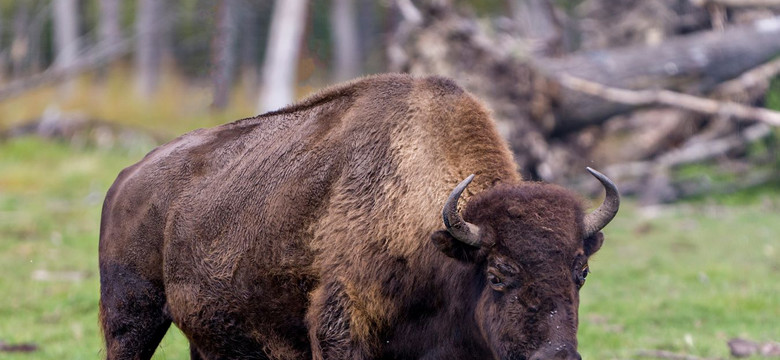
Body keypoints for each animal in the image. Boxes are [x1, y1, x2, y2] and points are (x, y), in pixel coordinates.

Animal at [99, 74, 620, 360]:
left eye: (582, 272)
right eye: (497, 274)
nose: (557, 357)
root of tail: (128, 178)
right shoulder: (340, 327)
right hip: (131, 314)